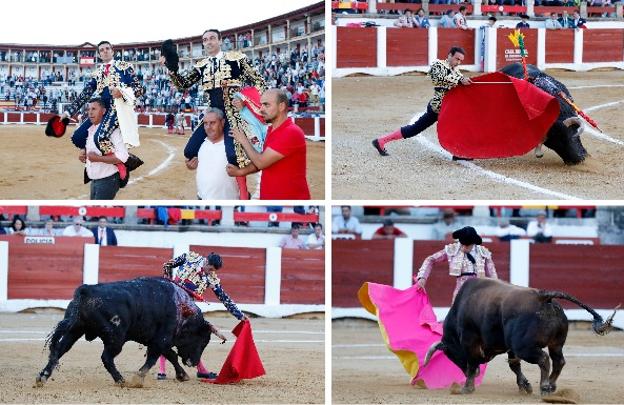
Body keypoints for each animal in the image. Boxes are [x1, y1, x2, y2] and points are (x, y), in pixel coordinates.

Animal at [35, 276, 214, 386]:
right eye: (202, 341)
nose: (195, 362)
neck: (182, 310)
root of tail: (86, 290)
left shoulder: (157, 340)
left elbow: (171, 355)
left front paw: (182, 375)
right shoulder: (161, 339)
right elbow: (154, 358)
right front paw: (138, 378)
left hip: (75, 330)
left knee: (59, 350)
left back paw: (42, 377)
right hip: (116, 338)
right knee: (106, 357)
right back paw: (121, 380)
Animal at [424, 278, 620, 394]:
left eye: (452, 355)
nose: (463, 373)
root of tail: (543, 296)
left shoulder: (470, 341)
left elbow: (473, 363)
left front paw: (467, 388)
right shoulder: (510, 348)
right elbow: (514, 366)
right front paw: (524, 386)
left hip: (524, 346)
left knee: (544, 359)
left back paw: (545, 386)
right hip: (556, 343)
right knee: (559, 360)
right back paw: (551, 385)